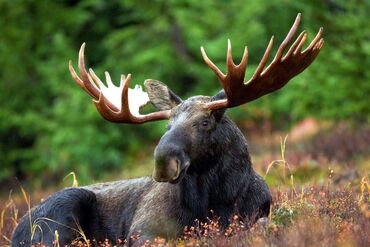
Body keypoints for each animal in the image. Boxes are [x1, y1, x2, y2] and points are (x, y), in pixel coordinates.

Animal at [12, 14, 324, 246]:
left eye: (205, 122)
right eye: (167, 124)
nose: (163, 162)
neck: (216, 202)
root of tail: (16, 230)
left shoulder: (258, 213)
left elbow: (262, 226)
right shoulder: (144, 230)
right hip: (62, 210)